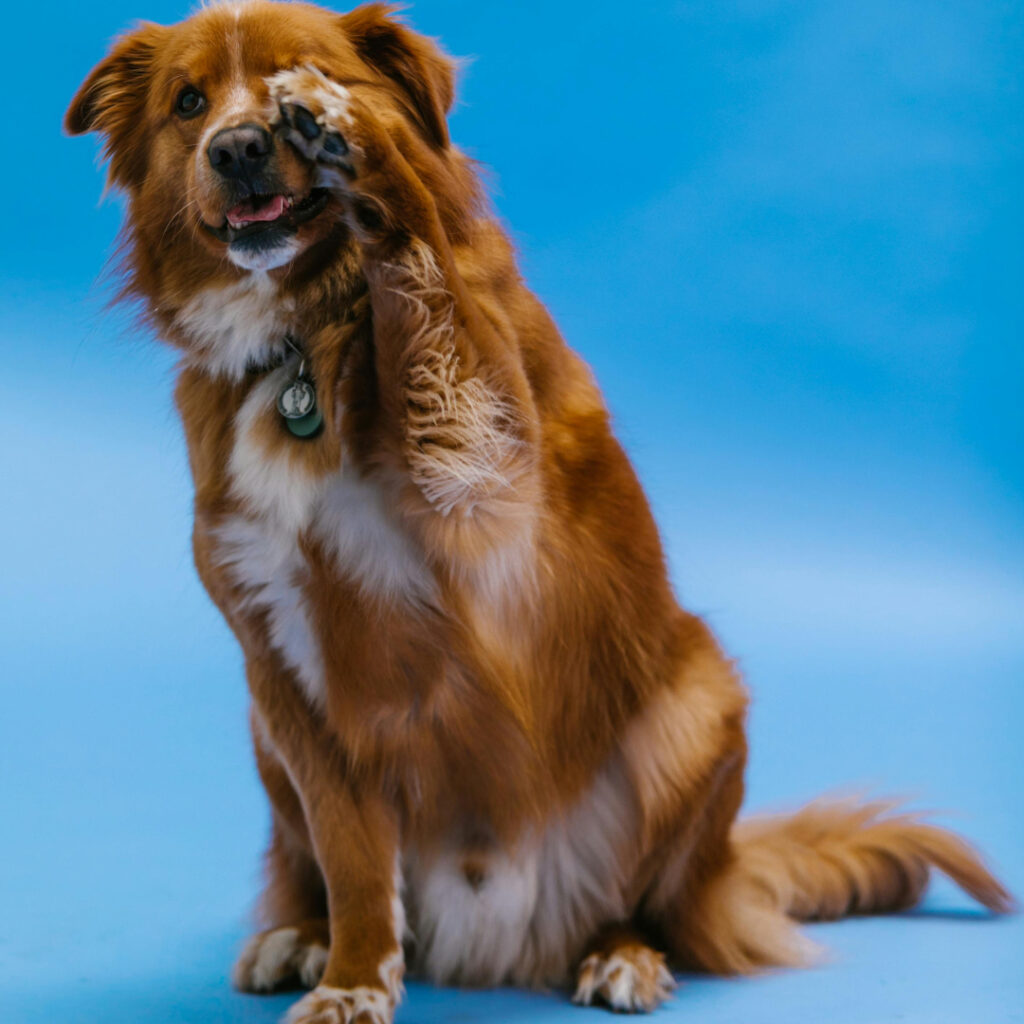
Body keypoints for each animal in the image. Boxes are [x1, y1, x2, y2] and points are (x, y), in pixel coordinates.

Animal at [68, 2, 1011, 1024]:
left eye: (305, 71)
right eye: (188, 102)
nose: (239, 147)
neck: (304, 336)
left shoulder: (488, 492)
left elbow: (431, 294)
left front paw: (361, 148)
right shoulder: (285, 663)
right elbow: (353, 860)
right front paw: (352, 978)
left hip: (697, 704)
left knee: (646, 899)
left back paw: (622, 953)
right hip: (264, 736)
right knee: (314, 866)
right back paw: (300, 934)